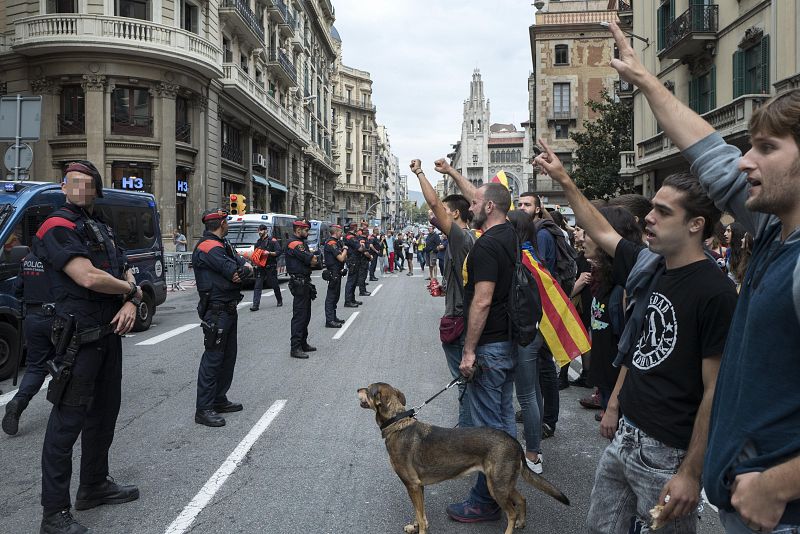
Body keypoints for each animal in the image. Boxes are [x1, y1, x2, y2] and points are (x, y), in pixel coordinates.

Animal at [356, 384, 568, 532]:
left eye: (367, 388)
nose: (357, 388)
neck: (398, 423)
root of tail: (514, 442)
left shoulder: (412, 485)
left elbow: (421, 516)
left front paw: (420, 530)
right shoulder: (418, 487)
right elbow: (420, 513)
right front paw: (414, 526)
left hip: (497, 487)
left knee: (512, 513)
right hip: (502, 483)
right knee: (522, 499)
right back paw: (522, 523)